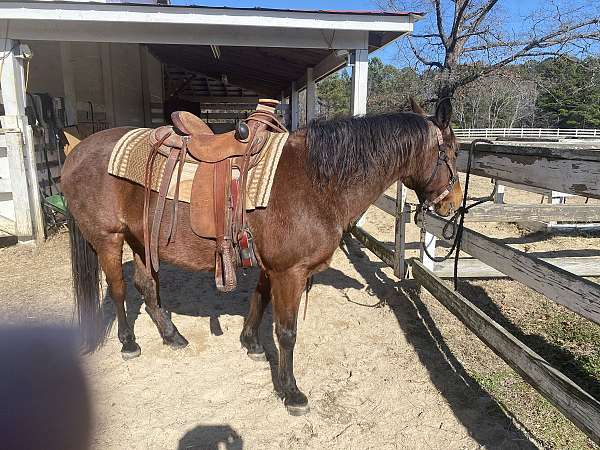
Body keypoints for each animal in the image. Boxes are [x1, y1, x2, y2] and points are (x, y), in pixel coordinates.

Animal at [62, 97, 464, 414]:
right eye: (454, 152)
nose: (454, 205)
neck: (316, 180)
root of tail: (75, 151)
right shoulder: (290, 272)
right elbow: (286, 332)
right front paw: (291, 391)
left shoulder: (273, 267)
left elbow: (259, 299)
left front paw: (251, 343)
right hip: (109, 240)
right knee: (118, 289)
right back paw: (129, 343)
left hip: (142, 240)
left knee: (146, 285)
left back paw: (172, 336)